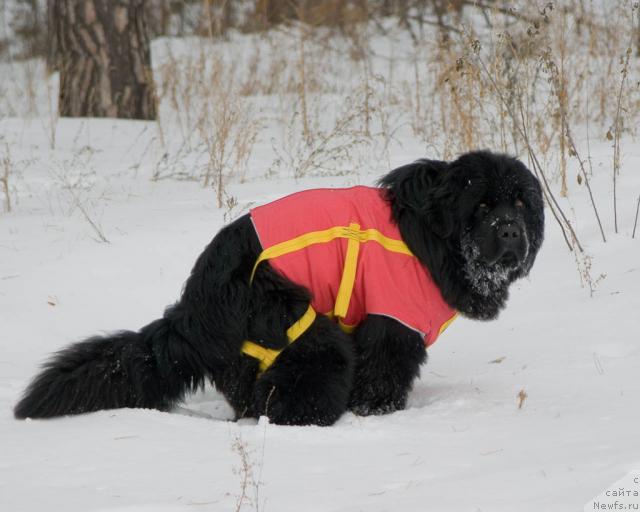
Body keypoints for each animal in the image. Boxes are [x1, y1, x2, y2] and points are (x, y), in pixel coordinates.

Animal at [13, 150, 544, 426]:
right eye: (482, 206)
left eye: (520, 204)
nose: (511, 231)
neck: (432, 238)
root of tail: (192, 308)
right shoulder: (392, 325)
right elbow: (381, 377)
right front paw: (376, 413)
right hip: (294, 324)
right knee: (291, 392)